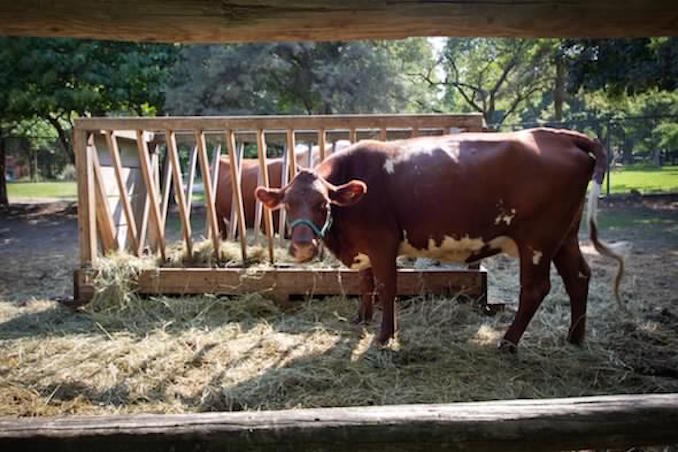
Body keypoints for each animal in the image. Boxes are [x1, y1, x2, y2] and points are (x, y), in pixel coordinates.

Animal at [258, 127, 628, 350]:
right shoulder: (363, 248)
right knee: (579, 277)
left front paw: (384, 337)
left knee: (536, 288)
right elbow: (364, 284)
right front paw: (361, 320)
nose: (301, 247)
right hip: (564, 235)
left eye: (323, 204)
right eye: (287, 204)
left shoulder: (383, 243)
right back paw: (574, 338)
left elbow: (385, 287)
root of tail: (558, 134)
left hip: (537, 239)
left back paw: (508, 343)